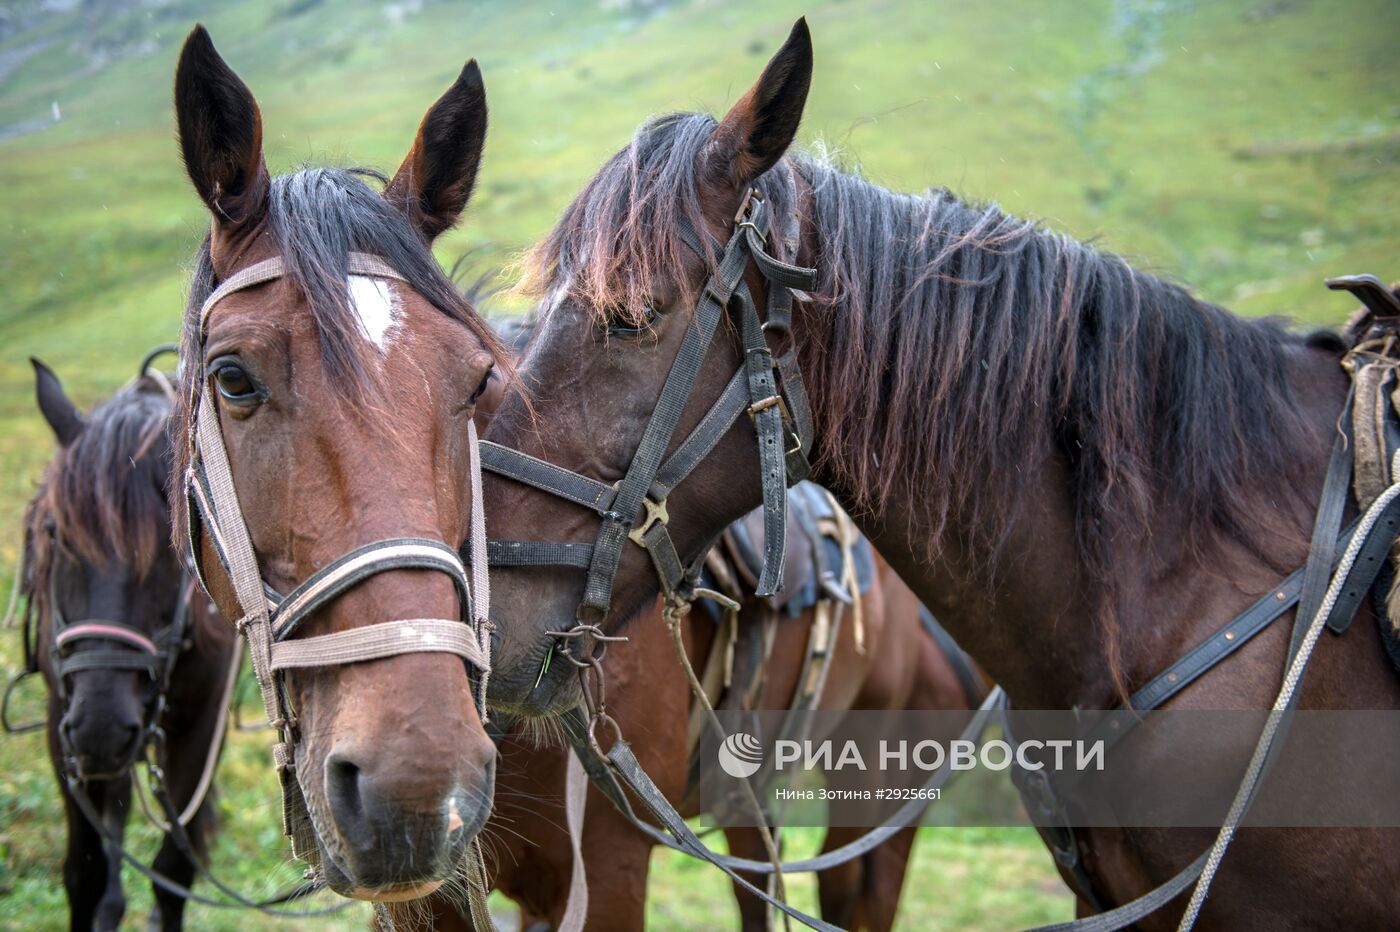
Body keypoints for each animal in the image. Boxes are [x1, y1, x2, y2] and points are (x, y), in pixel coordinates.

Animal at [19, 356, 235, 929]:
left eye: (172, 547)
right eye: (56, 534)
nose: (101, 726)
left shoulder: (200, 726)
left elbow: (172, 872)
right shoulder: (63, 723)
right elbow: (85, 870)